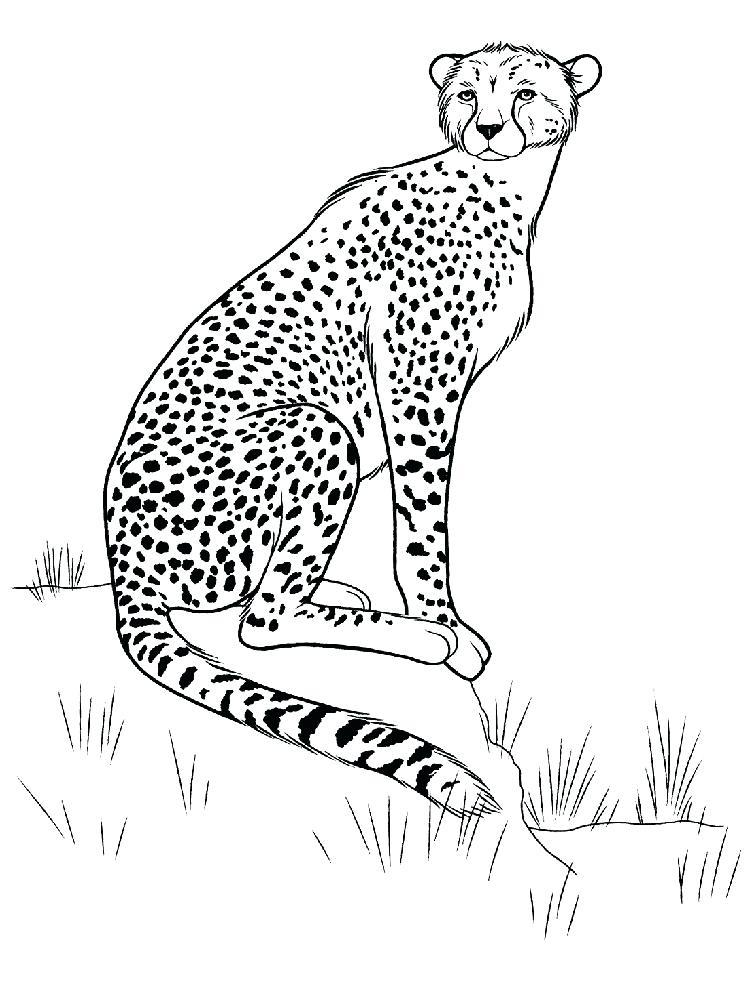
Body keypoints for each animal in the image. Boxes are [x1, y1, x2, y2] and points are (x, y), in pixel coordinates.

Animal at [104, 42, 602, 816]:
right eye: (467, 94)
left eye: (524, 92)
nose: (489, 128)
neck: (501, 187)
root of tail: (120, 553)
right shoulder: (417, 385)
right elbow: (424, 523)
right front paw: (443, 622)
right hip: (323, 428)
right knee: (262, 619)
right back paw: (416, 638)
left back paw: (340, 591)